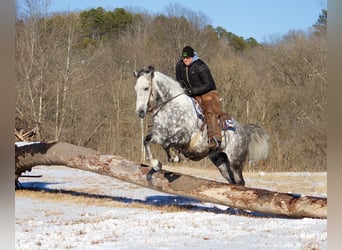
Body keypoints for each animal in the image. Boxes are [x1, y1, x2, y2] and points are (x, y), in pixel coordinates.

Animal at [134, 65, 270, 185]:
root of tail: (244, 130)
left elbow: (167, 143)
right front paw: (156, 164)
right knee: (232, 180)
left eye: (146, 88)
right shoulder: (159, 135)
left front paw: (174, 157)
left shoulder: (183, 137)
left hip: (235, 162)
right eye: (135, 89)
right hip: (220, 161)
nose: (140, 112)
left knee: (240, 182)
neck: (171, 107)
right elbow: (146, 140)